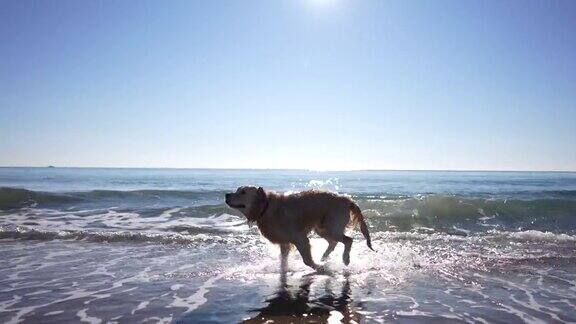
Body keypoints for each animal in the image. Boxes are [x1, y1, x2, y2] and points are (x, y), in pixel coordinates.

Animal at [225, 186, 374, 270]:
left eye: (243, 192)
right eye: (237, 190)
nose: (227, 194)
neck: (265, 208)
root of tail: (347, 200)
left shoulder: (299, 238)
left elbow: (307, 260)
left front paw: (317, 267)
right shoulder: (284, 242)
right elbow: (283, 260)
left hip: (331, 227)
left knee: (348, 240)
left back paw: (345, 259)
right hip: (322, 228)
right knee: (333, 242)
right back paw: (324, 257)